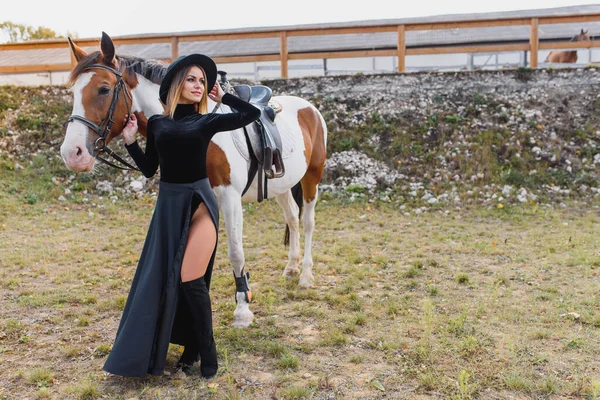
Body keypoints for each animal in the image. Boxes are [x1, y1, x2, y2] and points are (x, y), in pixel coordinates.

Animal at [59, 32, 328, 328]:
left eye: (104, 89)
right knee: (292, 218)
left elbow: (235, 252)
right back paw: (291, 268)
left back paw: (306, 275)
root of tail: (310, 109)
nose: (72, 153)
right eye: (73, 92)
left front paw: (242, 309)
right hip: (282, 186)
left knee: (307, 222)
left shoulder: (229, 198)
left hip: (312, 179)